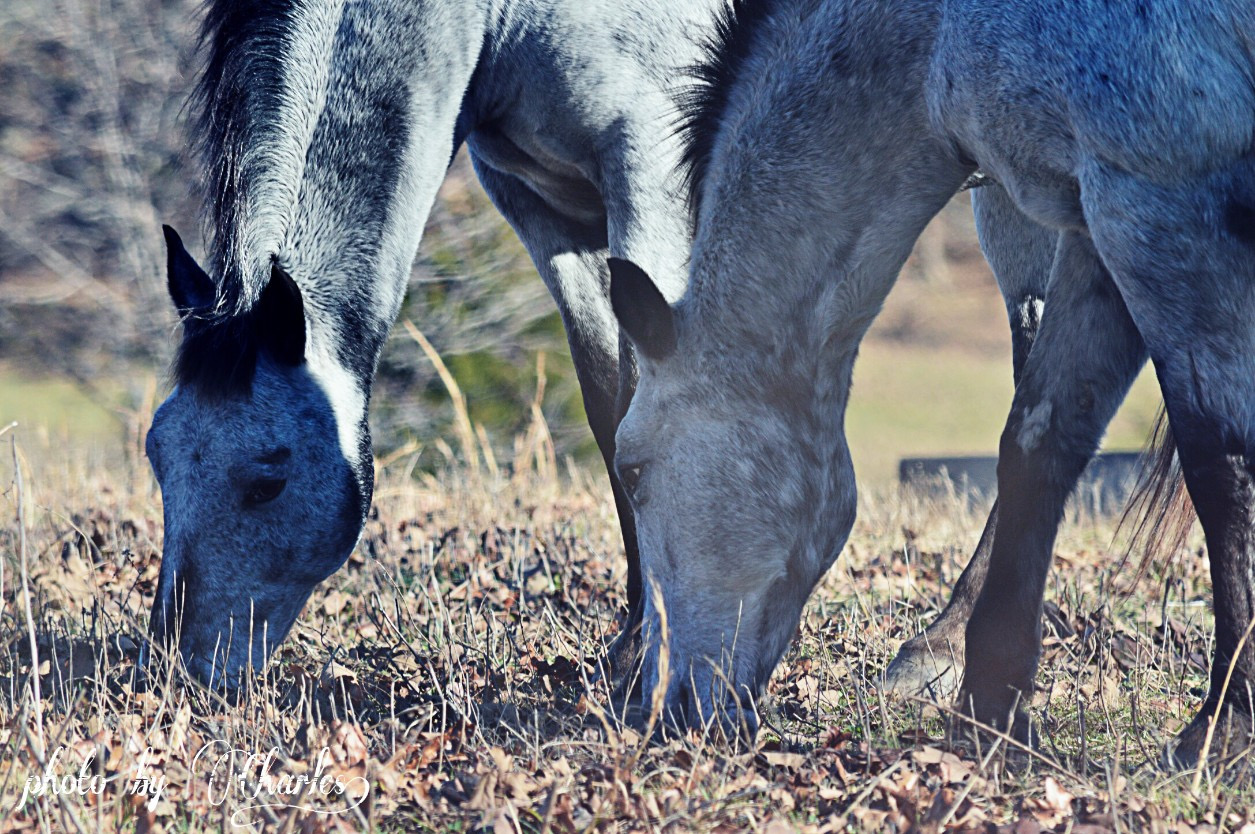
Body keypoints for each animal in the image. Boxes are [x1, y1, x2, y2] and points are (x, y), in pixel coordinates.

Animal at [609, 0, 1255, 762]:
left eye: (633, 471)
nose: (662, 705)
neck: (938, 31)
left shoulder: (1156, 203)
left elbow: (1219, 470)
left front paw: (1223, 729)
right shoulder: (1096, 223)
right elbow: (1037, 444)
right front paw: (988, 708)